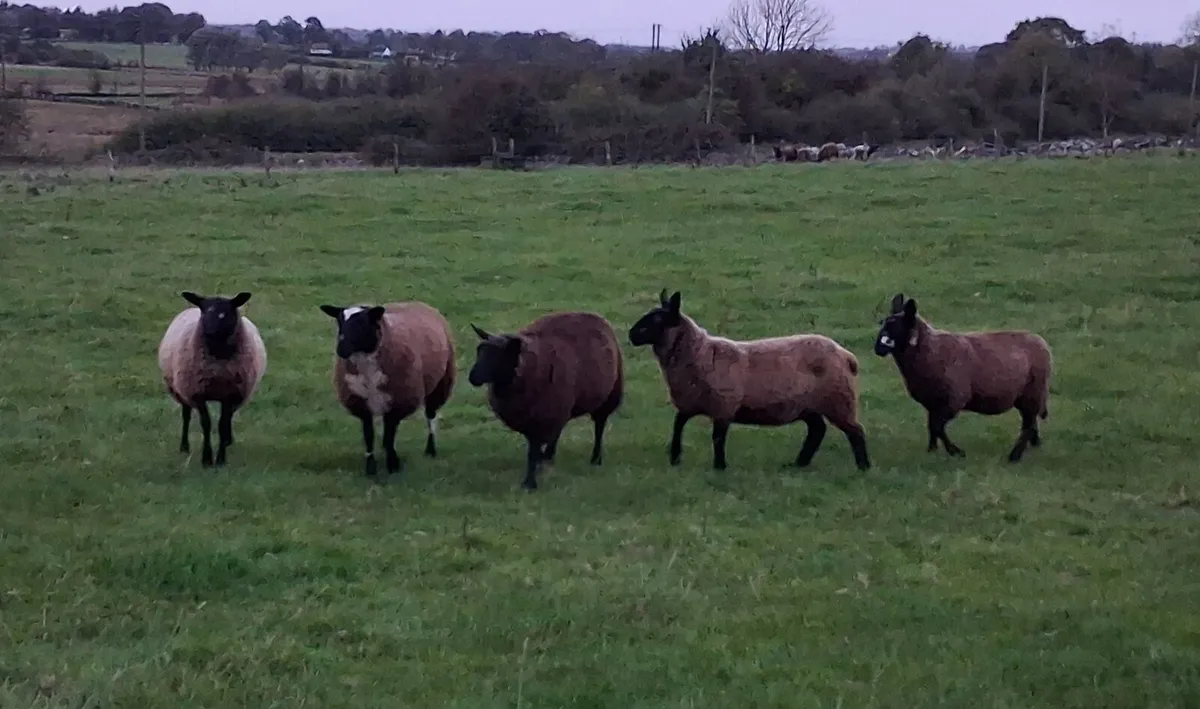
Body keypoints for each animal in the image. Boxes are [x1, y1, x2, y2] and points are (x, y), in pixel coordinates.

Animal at [158, 291, 267, 467]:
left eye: (224, 313)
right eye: (204, 311)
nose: (208, 330)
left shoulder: (231, 395)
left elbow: (223, 424)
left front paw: (221, 459)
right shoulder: (197, 393)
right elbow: (206, 424)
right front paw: (207, 459)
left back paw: (229, 440)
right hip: (181, 389)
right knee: (186, 416)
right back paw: (184, 447)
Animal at [319, 301, 456, 481]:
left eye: (362, 323)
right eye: (339, 321)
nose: (341, 349)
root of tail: (416, 302)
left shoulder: (397, 402)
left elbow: (389, 436)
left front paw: (392, 465)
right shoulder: (361, 404)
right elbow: (369, 436)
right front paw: (371, 468)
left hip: (441, 383)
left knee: (431, 417)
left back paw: (430, 450)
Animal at [467, 312, 624, 491]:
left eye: (498, 356)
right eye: (479, 351)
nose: (472, 377)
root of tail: (595, 315)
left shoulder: (540, 419)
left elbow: (532, 452)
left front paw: (530, 483)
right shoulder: (533, 419)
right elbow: (535, 450)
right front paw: (538, 468)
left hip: (608, 396)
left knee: (599, 427)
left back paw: (595, 459)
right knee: (559, 429)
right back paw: (549, 456)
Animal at [628, 289, 870, 472]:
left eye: (658, 319)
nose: (631, 335)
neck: (699, 353)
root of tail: (846, 355)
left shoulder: (724, 406)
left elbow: (718, 437)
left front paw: (719, 467)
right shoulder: (690, 403)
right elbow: (677, 426)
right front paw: (675, 457)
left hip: (839, 399)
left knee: (855, 432)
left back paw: (863, 467)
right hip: (809, 405)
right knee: (817, 430)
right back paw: (799, 463)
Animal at [873, 293, 1053, 462]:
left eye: (897, 326)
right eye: (883, 324)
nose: (878, 349)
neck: (929, 348)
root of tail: (1042, 343)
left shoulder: (954, 399)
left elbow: (937, 427)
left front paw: (956, 452)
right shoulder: (932, 402)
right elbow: (932, 426)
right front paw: (932, 451)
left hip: (1033, 391)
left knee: (1028, 425)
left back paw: (1014, 456)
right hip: (1027, 395)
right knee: (1031, 422)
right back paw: (1035, 445)